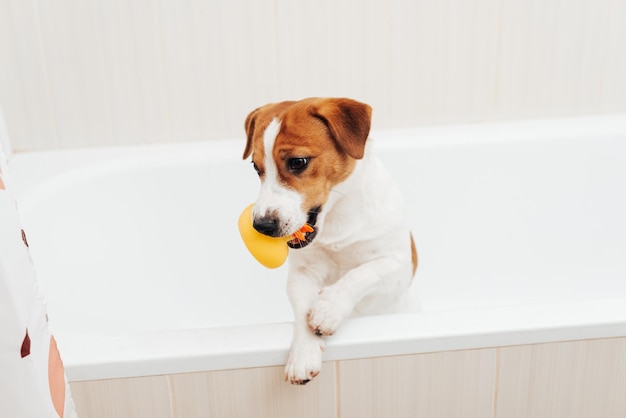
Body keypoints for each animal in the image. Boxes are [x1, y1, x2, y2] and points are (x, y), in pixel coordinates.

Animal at [241, 98, 416, 386]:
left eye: (298, 162)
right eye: (257, 168)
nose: (262, 226)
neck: (336, 220)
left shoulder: (397, 265)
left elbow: (360, 274)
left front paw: (329, 309)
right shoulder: (302, 274)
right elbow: (302, 312)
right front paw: (303, 354)